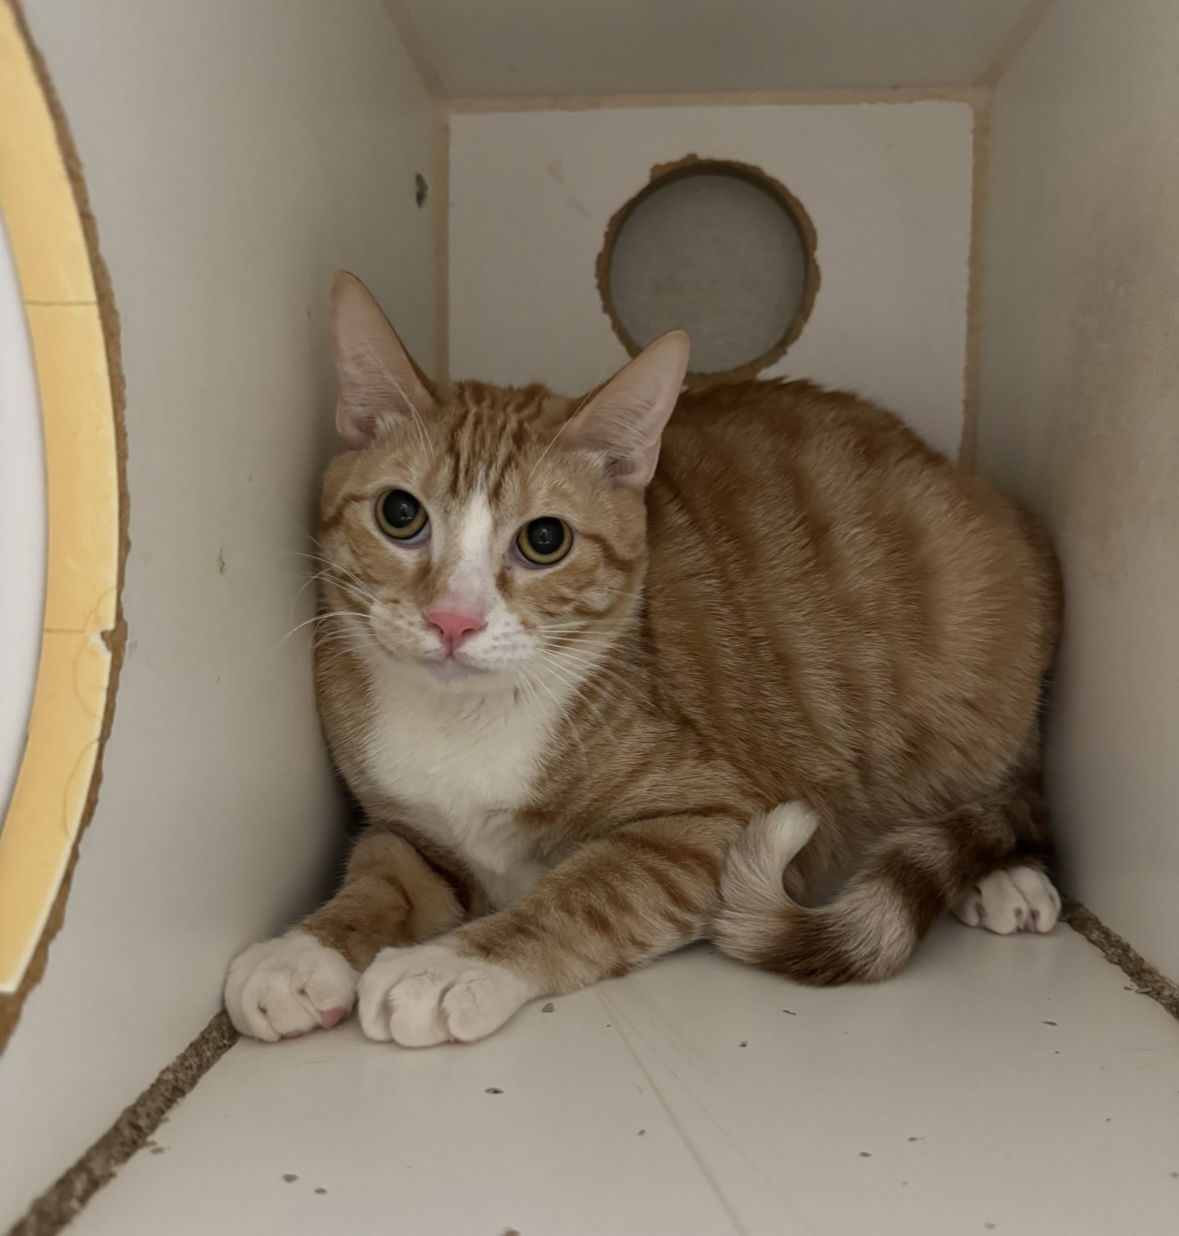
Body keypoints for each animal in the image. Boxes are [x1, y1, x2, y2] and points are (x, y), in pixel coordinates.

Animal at [219, 273, 1057, 1043]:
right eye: (400, 515)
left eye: (544, 539)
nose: (452, 620)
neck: (467, 724)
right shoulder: (411, 829)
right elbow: (378, 878)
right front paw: (304, 949)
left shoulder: (712, 822)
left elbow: (584, 892)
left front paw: (448, 965)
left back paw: (1005, 875)